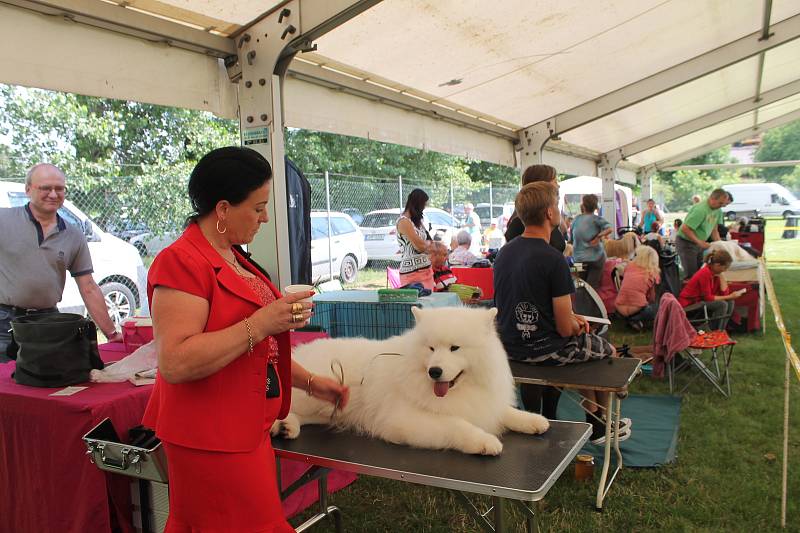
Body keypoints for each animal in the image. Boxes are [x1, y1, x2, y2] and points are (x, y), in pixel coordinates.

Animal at [272, 306, 552, 456]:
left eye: (455, 348)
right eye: (431, 348)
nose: (435, 371)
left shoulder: (484, 404)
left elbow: (505, 412)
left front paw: (533, 421)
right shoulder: (404, 420)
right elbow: (456, 425)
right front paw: (485, 442)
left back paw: (288, 427)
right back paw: (279, 425)